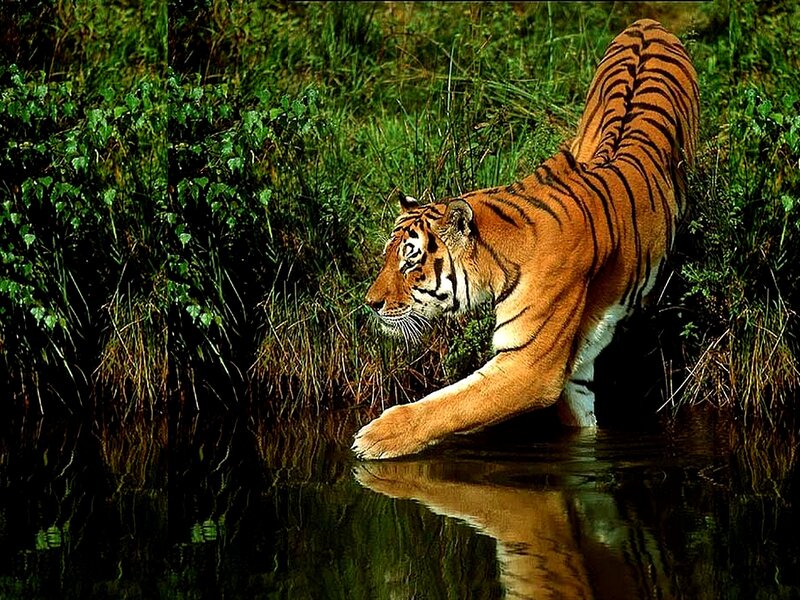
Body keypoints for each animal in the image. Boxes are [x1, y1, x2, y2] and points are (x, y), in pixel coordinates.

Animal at [352, 19, 699, 460]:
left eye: (410, 260)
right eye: (387, 258)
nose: (370, 303)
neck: (500, 252)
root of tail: (647, 22)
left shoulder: (530, 365)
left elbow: (453, 404)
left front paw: (376, 436)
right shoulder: (573, 366)